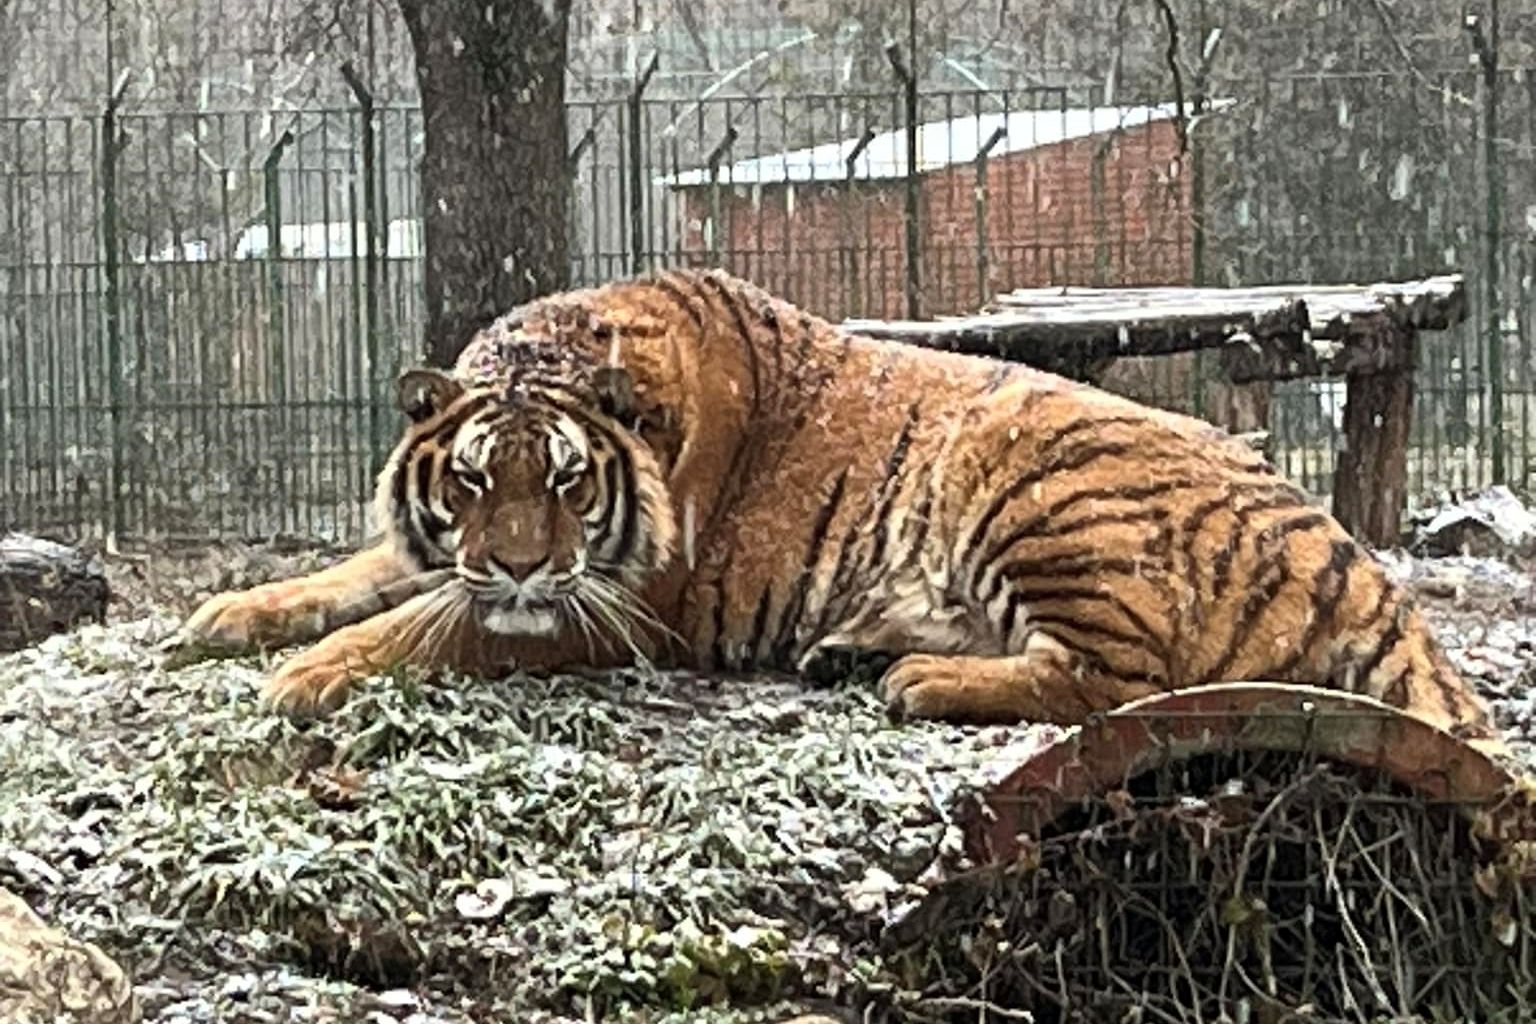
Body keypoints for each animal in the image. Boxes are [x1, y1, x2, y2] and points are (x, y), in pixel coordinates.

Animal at [176, 268, 1499, 758]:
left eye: (564, 481)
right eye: (468, 481)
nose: (511, 566)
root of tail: (1356, 558)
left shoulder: (616, 610)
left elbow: (424, 626)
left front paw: (307, 675)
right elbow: (356, 575)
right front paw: (229, 614)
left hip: (1034, 477)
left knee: (1119, 683)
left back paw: (917, 678)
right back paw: (856, 649)